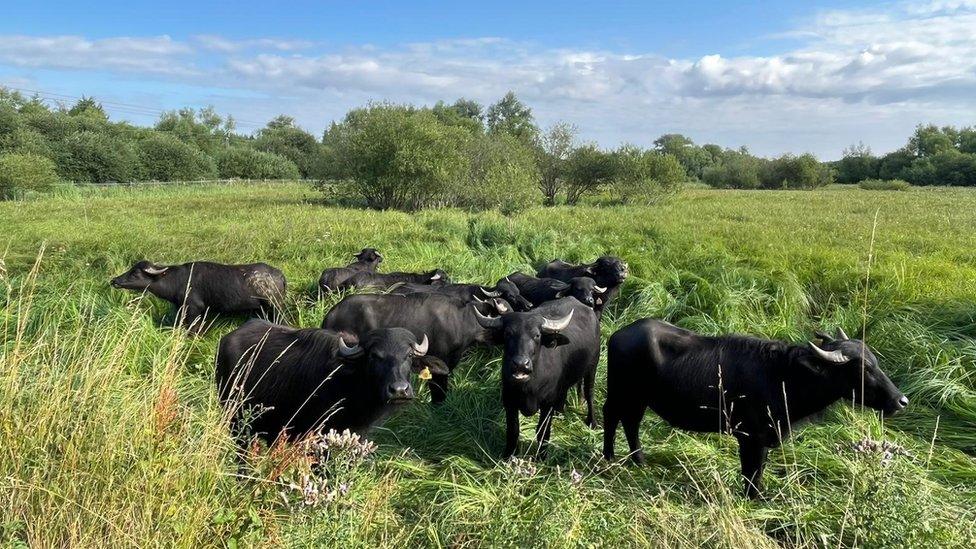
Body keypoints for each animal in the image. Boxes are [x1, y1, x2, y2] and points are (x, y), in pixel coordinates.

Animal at [112, 260, 286, 332]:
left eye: (135, 273)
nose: (114, 281)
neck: (177, 280)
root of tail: (279, 274)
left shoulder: (194, 308)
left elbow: (193, 328)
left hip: (276, 307)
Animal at [474, 298, 604, 456]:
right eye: (507, 333)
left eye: (536, 335)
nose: (521, 364)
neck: (528, 388)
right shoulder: (509, 402)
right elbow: (513, 431)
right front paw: (508, 455)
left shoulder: (547, 404)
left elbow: (542, 432)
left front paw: (541, 456)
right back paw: (559, 413)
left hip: (592, 366)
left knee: (589, 392)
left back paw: (592, 422)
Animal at [604, 318, 908, 498]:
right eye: (863, 369)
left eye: (875, 361)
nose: (900, 401)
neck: (784, 377)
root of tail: (618, 334)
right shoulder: (751, 438)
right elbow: (751, 472)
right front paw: (755, 497)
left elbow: (758, 470)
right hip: (622, 393)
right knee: (612, 417)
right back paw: (608, 458)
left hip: (639, 399)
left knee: (630, 423)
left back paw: (640, 461)